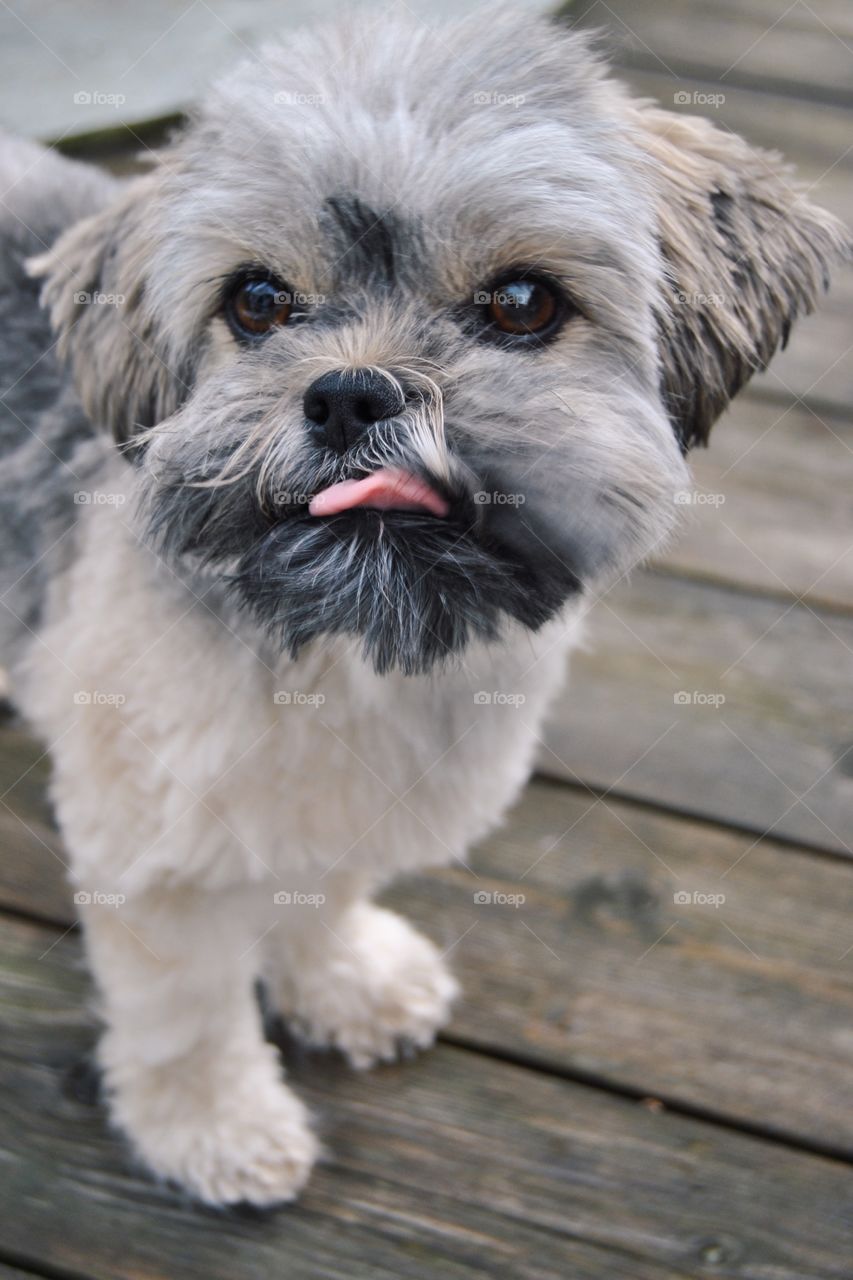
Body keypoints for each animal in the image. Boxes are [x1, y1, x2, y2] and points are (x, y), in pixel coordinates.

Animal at [0, 7, 845, 1208]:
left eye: (522, 304)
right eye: (257, 302)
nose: (352, 393)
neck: (341, 644)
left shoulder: (337, 791)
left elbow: (322, 880)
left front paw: (344, 978)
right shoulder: (152, 848)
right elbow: (186, 1011)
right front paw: (211, 1125)